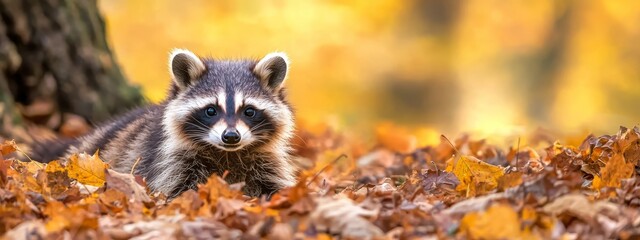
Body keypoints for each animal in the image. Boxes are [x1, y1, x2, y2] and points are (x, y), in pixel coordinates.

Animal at [31, 49, 296, 198]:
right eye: (211, 110)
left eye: (249, 111)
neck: (228, 154)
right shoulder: (167, 159)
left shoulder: (266, 160)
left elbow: (275, 185)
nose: (231, 136)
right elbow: (175, 188)